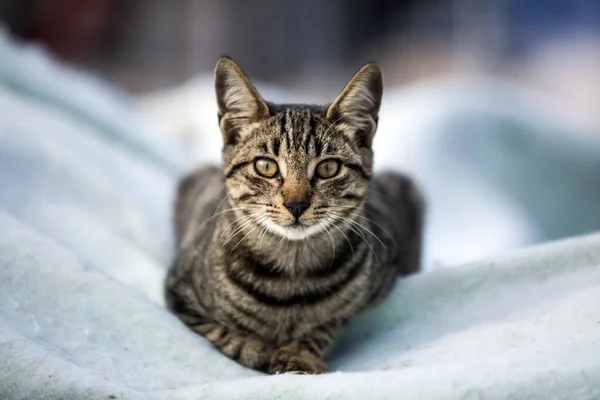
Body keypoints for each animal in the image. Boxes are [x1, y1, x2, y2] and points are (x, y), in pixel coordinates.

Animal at [166, 57, 424, 376]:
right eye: (265, 166)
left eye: (328, 168)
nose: (296, 204)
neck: (291, 275)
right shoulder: (180, 293)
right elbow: (220, 333)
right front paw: (254, 347)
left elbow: (326, 324)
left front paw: (299, 354)